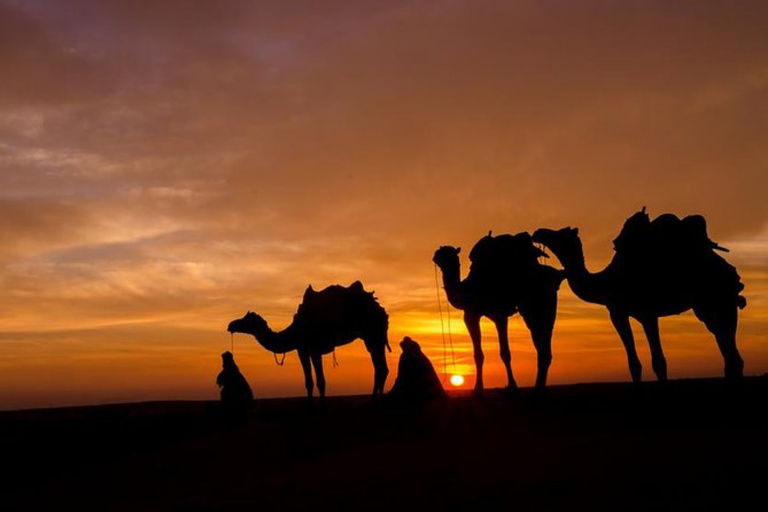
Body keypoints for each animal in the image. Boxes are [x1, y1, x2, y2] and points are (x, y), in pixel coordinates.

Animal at [225, 282, 388, 398]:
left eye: (246, 319)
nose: (231, 325)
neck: (295, 331)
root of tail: (380, 308)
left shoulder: (315, 350)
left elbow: (321, 381)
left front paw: (322, 409)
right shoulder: (302, 351)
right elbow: (308, 382)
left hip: (373, 334)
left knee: (380, 367)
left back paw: (373, 401)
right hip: (372, 337)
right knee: (381, 368)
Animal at [436, 233, 568, 396]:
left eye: (450, 255)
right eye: (439, 255)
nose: (437, 257)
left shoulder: (482, 314)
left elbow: (496, 353)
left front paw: (481, 388)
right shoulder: (485, 315)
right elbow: (496, 353)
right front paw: (508, 385)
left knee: (542, 340)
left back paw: (538, 388)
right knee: (542, 341)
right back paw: (539, 387)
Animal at [536, 209, 744, 384]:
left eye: (560, 234)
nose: (538, 231)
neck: (607, 282)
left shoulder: (647, 313)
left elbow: (659, 362)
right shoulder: (618, 313)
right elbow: (634, 364)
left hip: (720, 300)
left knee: (732, 354)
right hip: (708, 307)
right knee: (728, 351)